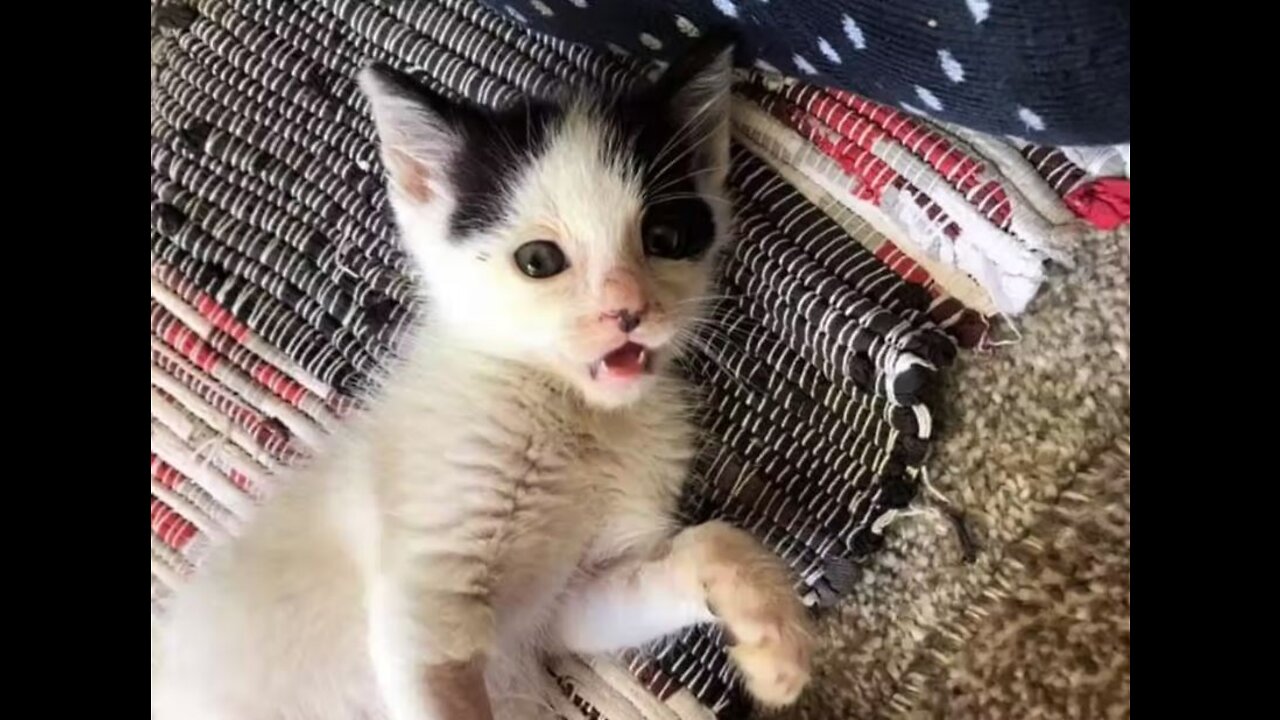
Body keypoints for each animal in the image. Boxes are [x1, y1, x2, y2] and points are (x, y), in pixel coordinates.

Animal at [149, 39, 808, 717]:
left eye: (666, 236)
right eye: (538, 261)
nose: (627, 310)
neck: (574, 414)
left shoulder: (568, 600)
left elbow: (698, 548)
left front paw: (770, 634)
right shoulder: (424, 592)